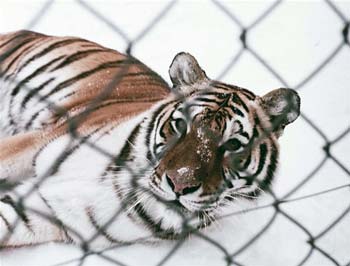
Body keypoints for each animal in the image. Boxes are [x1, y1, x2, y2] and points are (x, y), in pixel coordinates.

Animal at [0, 30, 300, 248]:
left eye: (233, 145)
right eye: (181, 125)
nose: (180, 184)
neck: (123, 188)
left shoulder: (48, 212)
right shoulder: (36, 142)